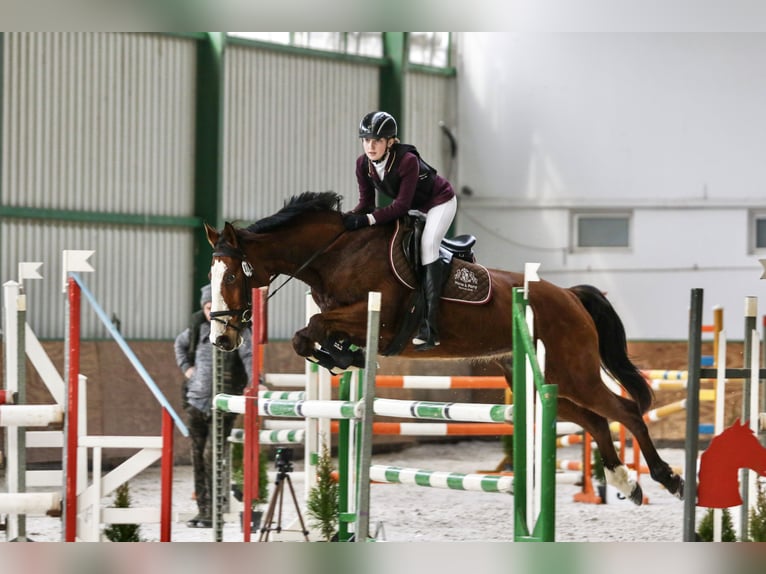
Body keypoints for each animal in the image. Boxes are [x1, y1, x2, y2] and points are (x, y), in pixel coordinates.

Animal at [202, 191, 684, 506]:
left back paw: (667, 479)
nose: (221, 339)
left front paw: (342, 355)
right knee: (595, 420)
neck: (333, 253)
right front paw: (341, 356)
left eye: (232, 276)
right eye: (212, 275)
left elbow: (315, 327)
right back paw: (626, 482)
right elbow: (308, 336)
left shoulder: (379, 318)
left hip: (573, 372)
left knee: (624, 411)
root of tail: (569, 295)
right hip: (539, 381)